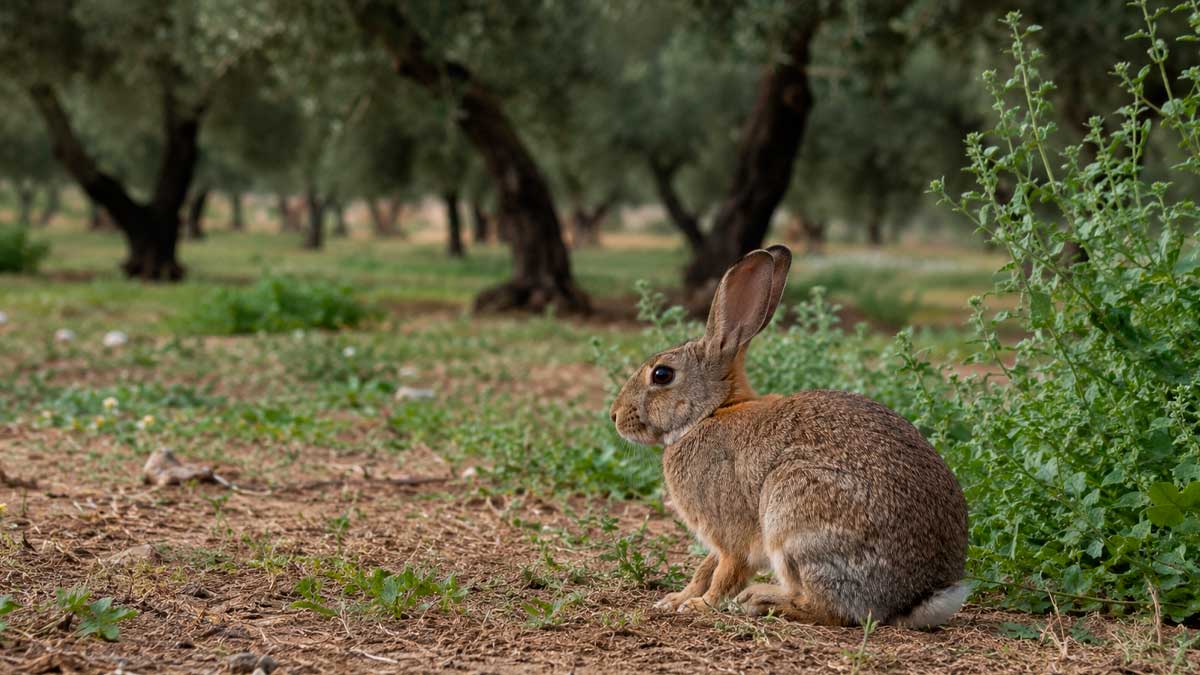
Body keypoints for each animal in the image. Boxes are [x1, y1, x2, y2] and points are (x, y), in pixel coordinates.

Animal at [609, 245, 968, 628]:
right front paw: (676, 599)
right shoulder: (718, 541)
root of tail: (917, 597)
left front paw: (699, 606)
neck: (709, 412)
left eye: (662, 375)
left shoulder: (731, 534)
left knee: (830, 608)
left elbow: (725, 572)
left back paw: (763, 599)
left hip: (794, 513)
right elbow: (704, 568)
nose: (615, 415)